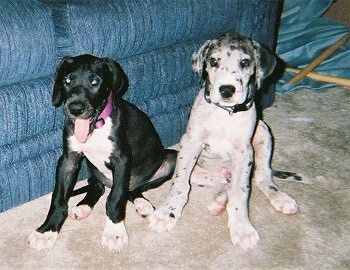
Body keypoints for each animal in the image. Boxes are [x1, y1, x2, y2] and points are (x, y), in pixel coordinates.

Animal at [27, 53, 176, 252]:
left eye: (95, 81)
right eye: (67, 80)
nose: (75, 108)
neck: (96, 127)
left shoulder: (122, 160)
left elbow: (116, 197)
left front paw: (114, 232)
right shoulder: (68, 160)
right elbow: (58, 198)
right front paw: (47, 231)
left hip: (171, 158)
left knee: (132, 189)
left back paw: (142, 203)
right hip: (94, 170)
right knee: (97, 187)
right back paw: (83, 207)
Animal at [149, 32, 300, 250]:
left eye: (245, 62)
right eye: (213, 61)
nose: (227, 90)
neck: (224, 112)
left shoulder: (244, 152)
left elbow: (240, 192)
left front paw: (242, 228)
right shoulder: (190, 143)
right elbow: (179, 184)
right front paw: (167, 212)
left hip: (263, 133)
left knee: (262, 178)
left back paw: (279, 197)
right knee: (221, 182)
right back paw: (219, 201)